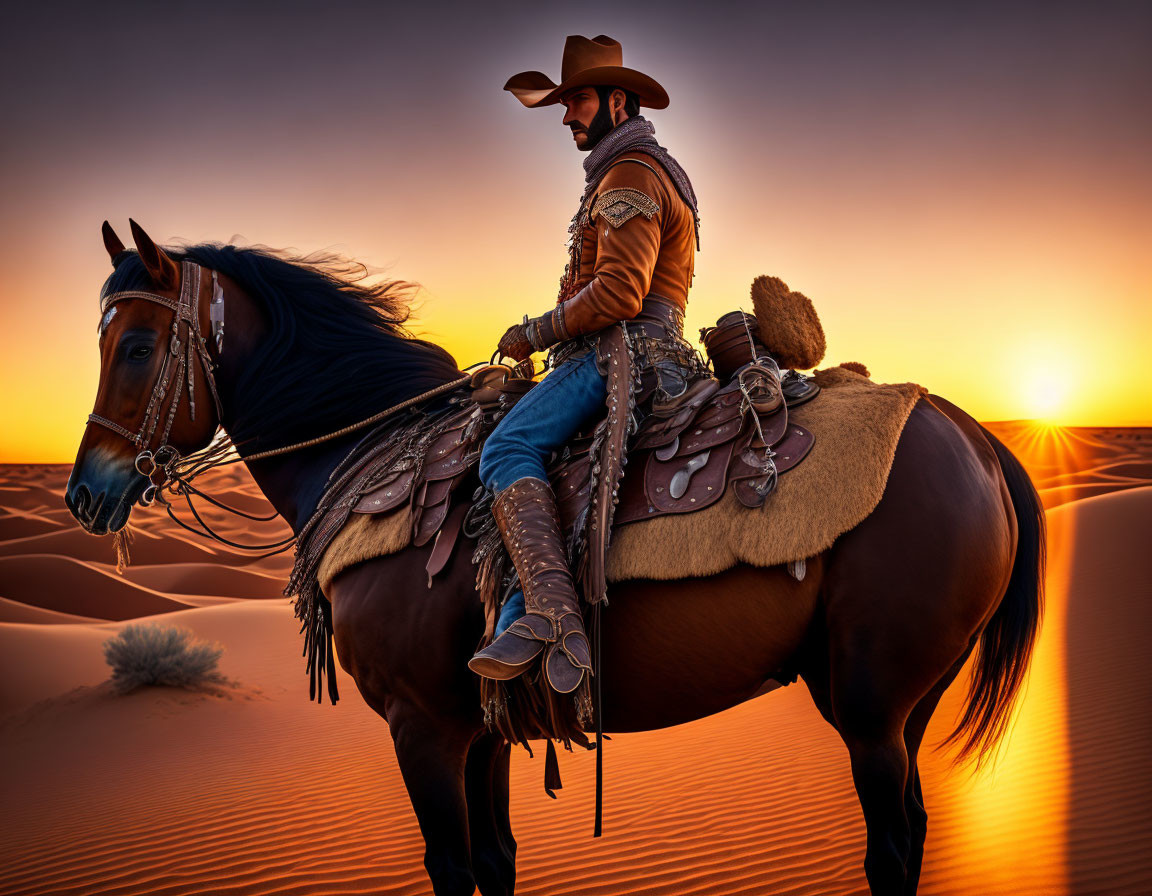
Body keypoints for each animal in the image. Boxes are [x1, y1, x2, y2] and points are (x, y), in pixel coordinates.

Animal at [67, 221, 1050, 893]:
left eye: (139, 344)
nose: (86, 491)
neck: (374, 455)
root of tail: (968, 431)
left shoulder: (420, 727)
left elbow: (453, 868)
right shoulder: (479, 729)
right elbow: (497, 861)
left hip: (873, 704)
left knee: (892, 845)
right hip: (908, 700)